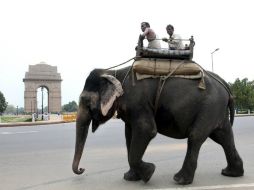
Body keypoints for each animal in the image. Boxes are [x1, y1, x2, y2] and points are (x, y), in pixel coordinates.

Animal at [72, 65, 244, 184]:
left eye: (86, 102)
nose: (82, 169)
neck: (114, 72)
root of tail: (225, 85)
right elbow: (129, 136)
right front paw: (131, 178)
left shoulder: (139, 103)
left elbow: (147, 130)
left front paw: (149, 173)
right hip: (216, 110)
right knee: (224, 137)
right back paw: (231, 173)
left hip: (210, 106)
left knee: (196, 137)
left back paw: (180, 180)